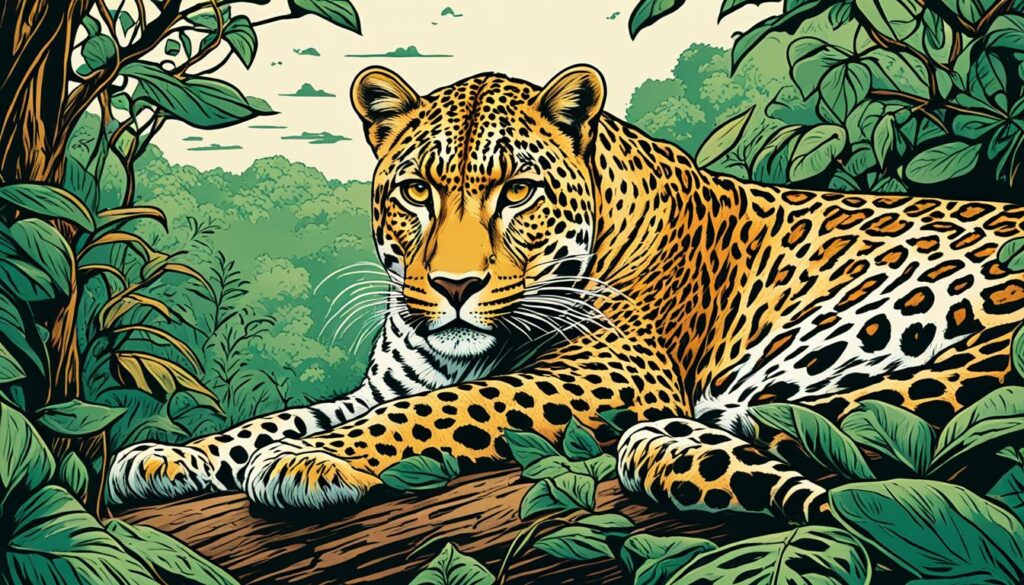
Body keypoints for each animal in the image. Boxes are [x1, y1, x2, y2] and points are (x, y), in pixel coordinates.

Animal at [108, 64, 1024, 524]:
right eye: (417, 191)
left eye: (516, 191)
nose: (454, 285)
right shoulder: (381, 384)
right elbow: (280, 419)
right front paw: (169, 456)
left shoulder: (610, 372)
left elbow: (433, 413)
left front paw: (314, 459)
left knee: (859, 426)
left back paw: (675, 449)